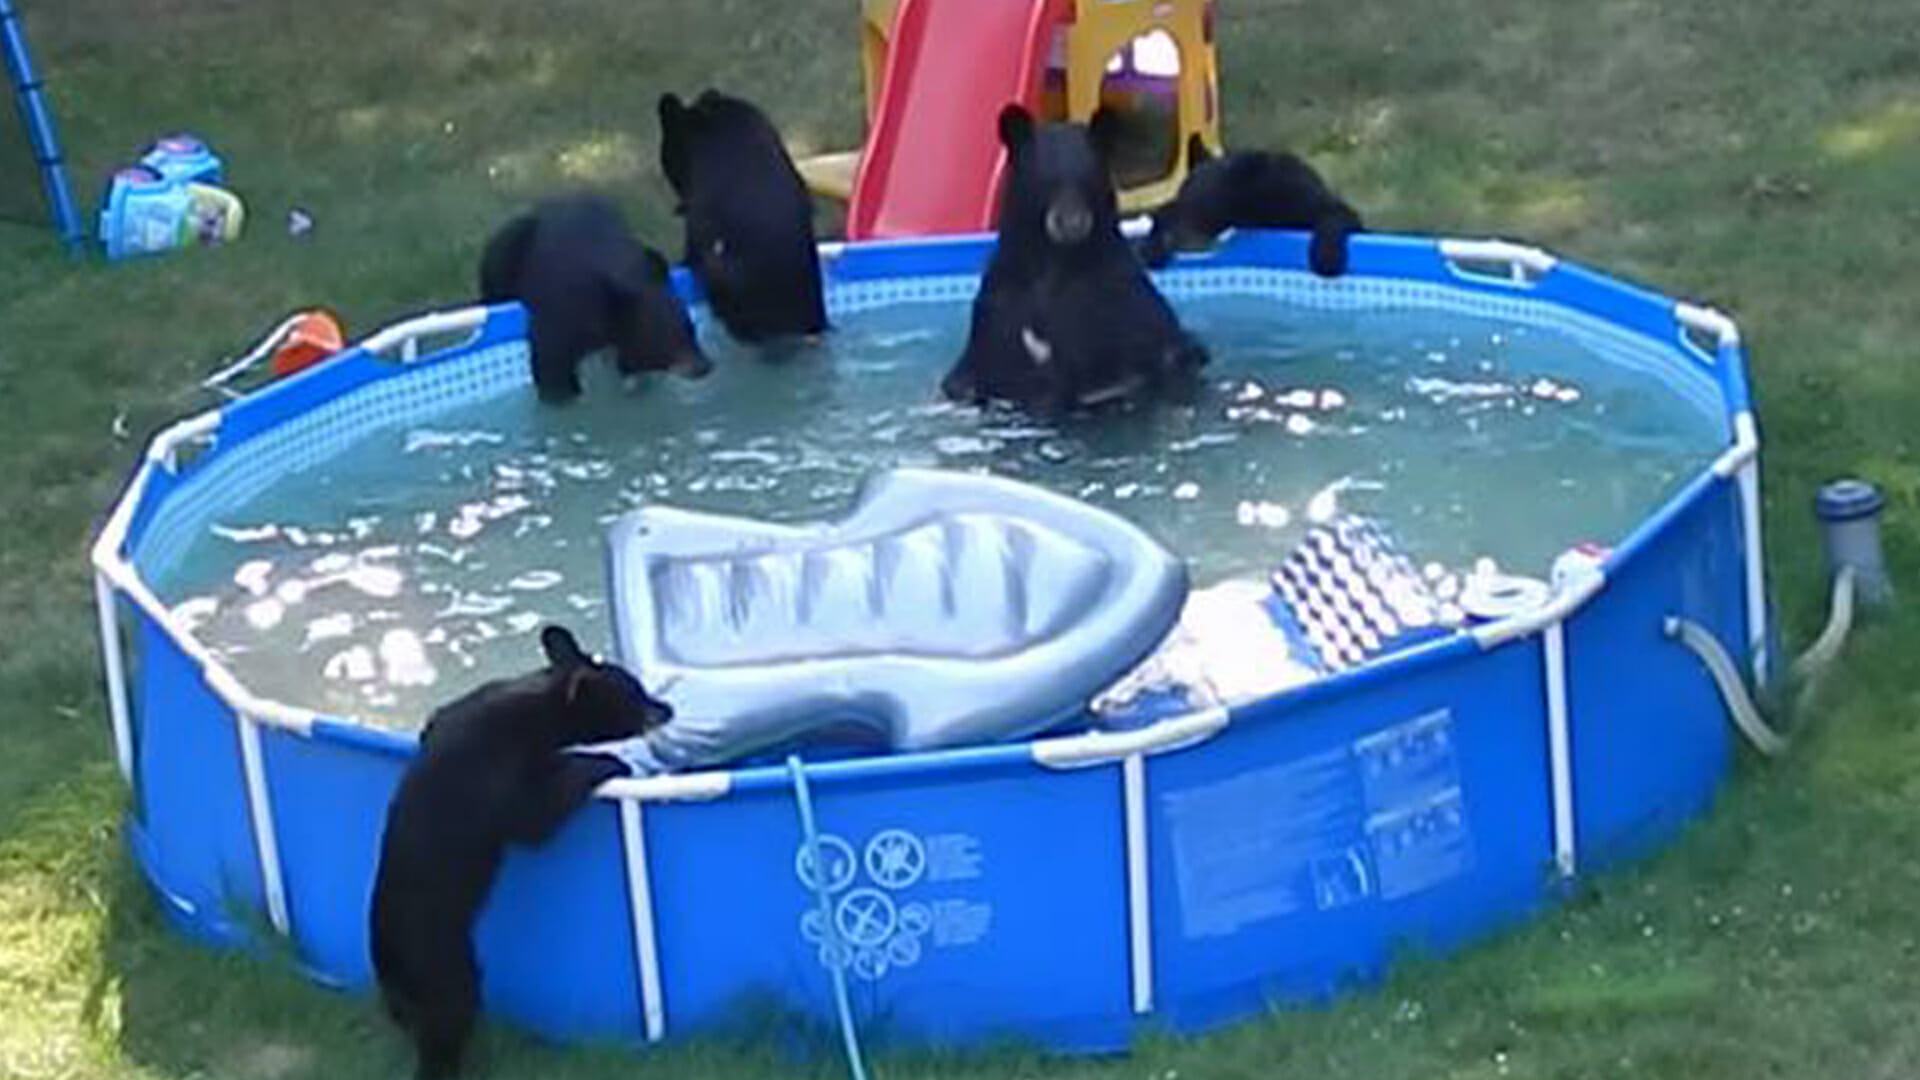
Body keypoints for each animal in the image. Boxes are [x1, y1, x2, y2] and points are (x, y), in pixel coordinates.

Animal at [366, 622, 675, 1076]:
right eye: (635, 695)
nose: (667, 707)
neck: (537, 708)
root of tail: (387, 960)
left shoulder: (457, 713)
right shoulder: (498, 775)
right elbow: (534, 817)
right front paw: (608, 763)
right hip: (443, 964)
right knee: (448, 1019)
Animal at [480, 191, 714, 401]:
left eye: (690, 328)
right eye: (667, 339)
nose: (705, 366)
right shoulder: (564, 310)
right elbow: (551, 362)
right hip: (507, 248)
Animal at [940, 105, 1205, 413]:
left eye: (1088, 178)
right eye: (1044, 180)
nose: (1071, 222)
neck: (1053, 259)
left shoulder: (1105, 303)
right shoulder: (999, 305)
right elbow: (972, 372)